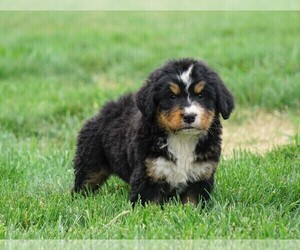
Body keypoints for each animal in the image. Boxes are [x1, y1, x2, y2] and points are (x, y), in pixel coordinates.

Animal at [72, 58, 234, 205]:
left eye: (202, 96)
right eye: (172, 96)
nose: (189, 116)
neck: (182, 140)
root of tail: (104, 111)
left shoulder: (200, 176)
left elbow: (193, 204)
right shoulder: (148, 174)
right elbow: (149, 205)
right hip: (91, 161)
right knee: (85, 182)